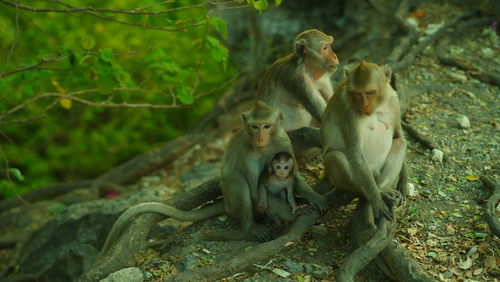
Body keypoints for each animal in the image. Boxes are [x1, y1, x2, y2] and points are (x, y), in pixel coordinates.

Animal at [320, 61, 406, 223]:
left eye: (369, 92)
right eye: (356, 93)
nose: (363, 105)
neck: (377, 107)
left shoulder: (394, 101)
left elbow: (398, 135)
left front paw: (404, 181)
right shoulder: (347, 111)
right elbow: (355, 152)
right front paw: (377, 203)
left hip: (377, 173)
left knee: (400, 143)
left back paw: (384, 188)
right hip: (355, 177)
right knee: (336, 156)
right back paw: (374, 193)